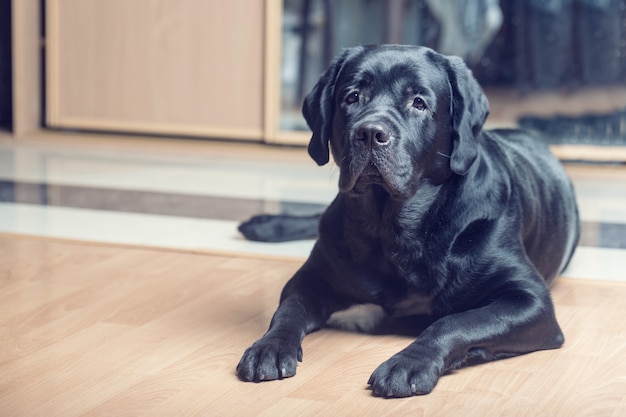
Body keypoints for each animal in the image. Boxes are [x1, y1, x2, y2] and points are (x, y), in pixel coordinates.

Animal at [236, 44, 576, 396]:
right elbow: (288, 310)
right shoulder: (312, 277)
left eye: (419, 103)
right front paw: (269, 346)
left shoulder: (529, 300)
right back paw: (264, 224)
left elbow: (455, 321)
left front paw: (409, 364)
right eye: (352, 97)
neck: (395, 227)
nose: (371, 133)